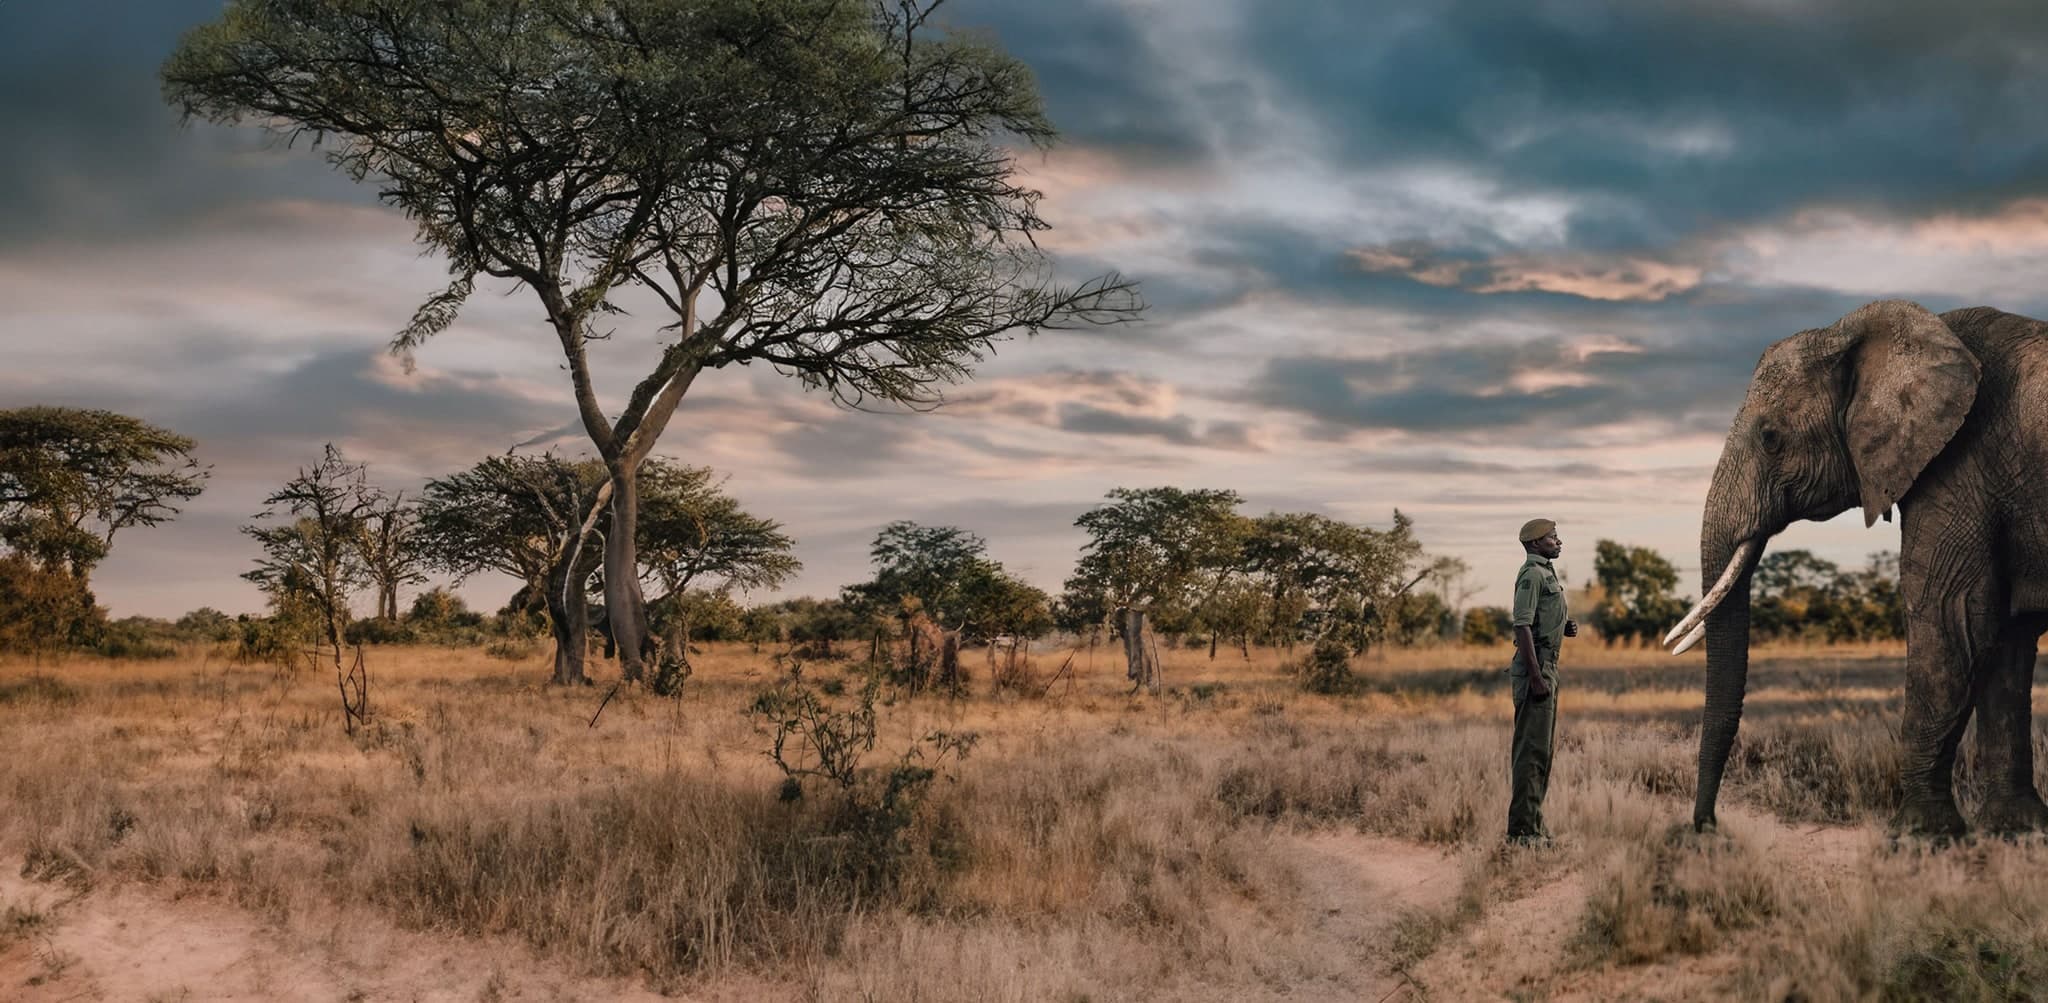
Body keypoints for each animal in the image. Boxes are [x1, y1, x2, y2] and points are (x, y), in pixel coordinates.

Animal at [1669, 299, 2048, 838]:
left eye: (1770, 438)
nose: (1706, 826)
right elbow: (2005, 641)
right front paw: (2015, 831)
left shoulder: (1961, 465)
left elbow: (1951, 618)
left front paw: (1918, 837)